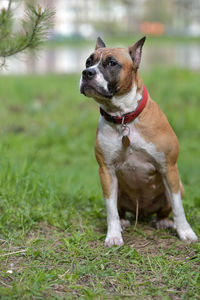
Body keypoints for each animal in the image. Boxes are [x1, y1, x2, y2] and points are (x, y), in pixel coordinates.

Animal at [79, 37, 198, 246]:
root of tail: (142, 213)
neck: (124, 117)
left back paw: (164, 222)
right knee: (119, 210)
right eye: (88, 62)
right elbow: (111, 211)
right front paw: (113, 235)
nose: (87, 73)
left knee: (165, 210)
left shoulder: (169, 167)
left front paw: (185, 232)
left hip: (177, 186)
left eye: (112, 63)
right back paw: (124, 222)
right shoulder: (106, 171)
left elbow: (178, 207)